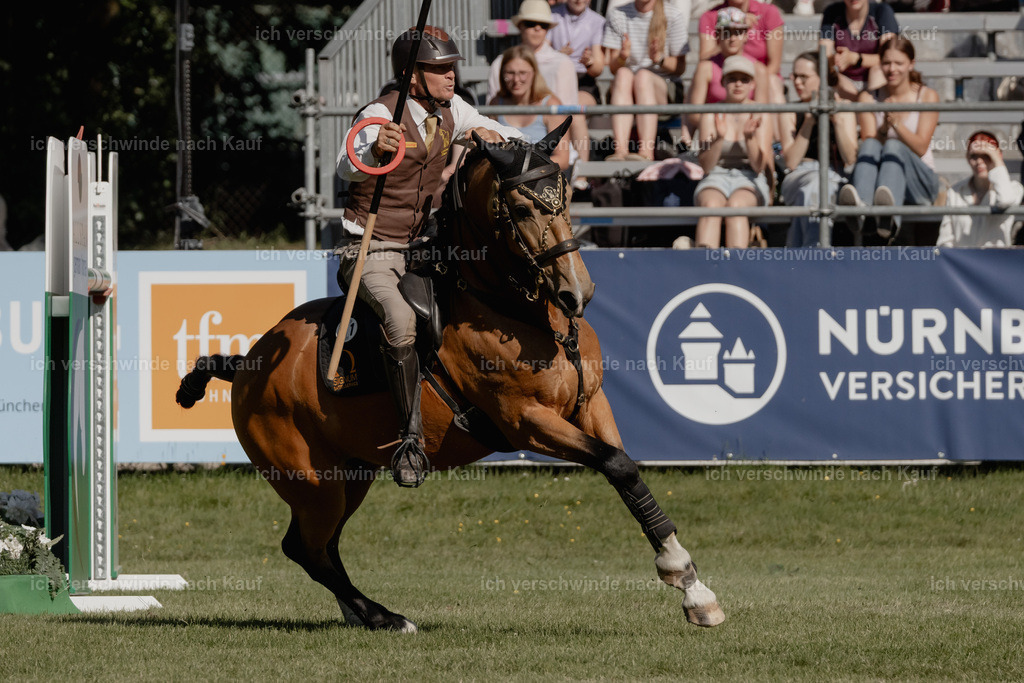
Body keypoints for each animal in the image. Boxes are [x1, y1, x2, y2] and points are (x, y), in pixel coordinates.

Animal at [175, 119, 725, 632]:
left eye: (567, 197)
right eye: (520, 210)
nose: (577, 292)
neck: (523, 313)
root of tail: (248, 364)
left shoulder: (591, 405)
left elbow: (627, 472)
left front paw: (693, 589)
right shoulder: (527, 422)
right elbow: (617, 464)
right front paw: (681, 574)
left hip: (351, 473)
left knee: (322, 547)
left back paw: (362, 613)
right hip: (313, 482)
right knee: (306, 548)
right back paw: (383, 616)